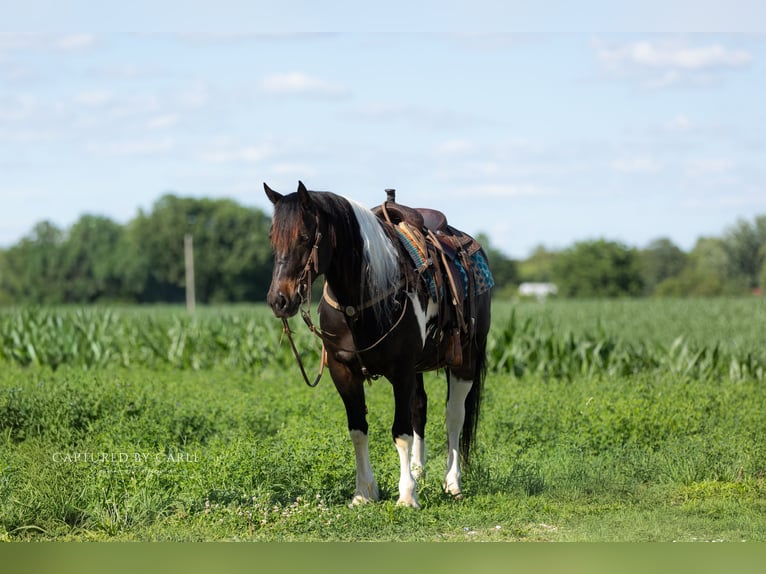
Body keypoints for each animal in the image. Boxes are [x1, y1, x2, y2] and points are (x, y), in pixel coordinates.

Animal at [264, 181, 492, 508]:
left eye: (305, 237)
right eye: (272, 237)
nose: (279, 300)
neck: (360, 302)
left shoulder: (401, 370)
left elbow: (401, 432)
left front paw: (407, 495)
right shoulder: (343, 372)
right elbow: (359, 430)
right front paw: (364, 493)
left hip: (466, 360)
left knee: (454, 417)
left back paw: (452, 483)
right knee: (420, 407)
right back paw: (419, 471)